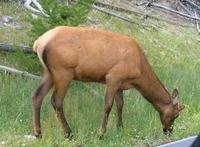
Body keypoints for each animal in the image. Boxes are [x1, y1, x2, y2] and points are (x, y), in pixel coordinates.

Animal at [32, 26, 184, 139]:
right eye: (176, 115)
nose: (169, 131)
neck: (139, 74)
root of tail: (38, 43)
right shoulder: (113, 77)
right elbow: (108, 105)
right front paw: (101, 134)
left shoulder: (120, 83)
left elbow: (120, 105)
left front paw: (120, 128)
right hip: (63, 72)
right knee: (56, 101)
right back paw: (68, 133)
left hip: (48, 72)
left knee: (37, 96)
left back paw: (38, 133)